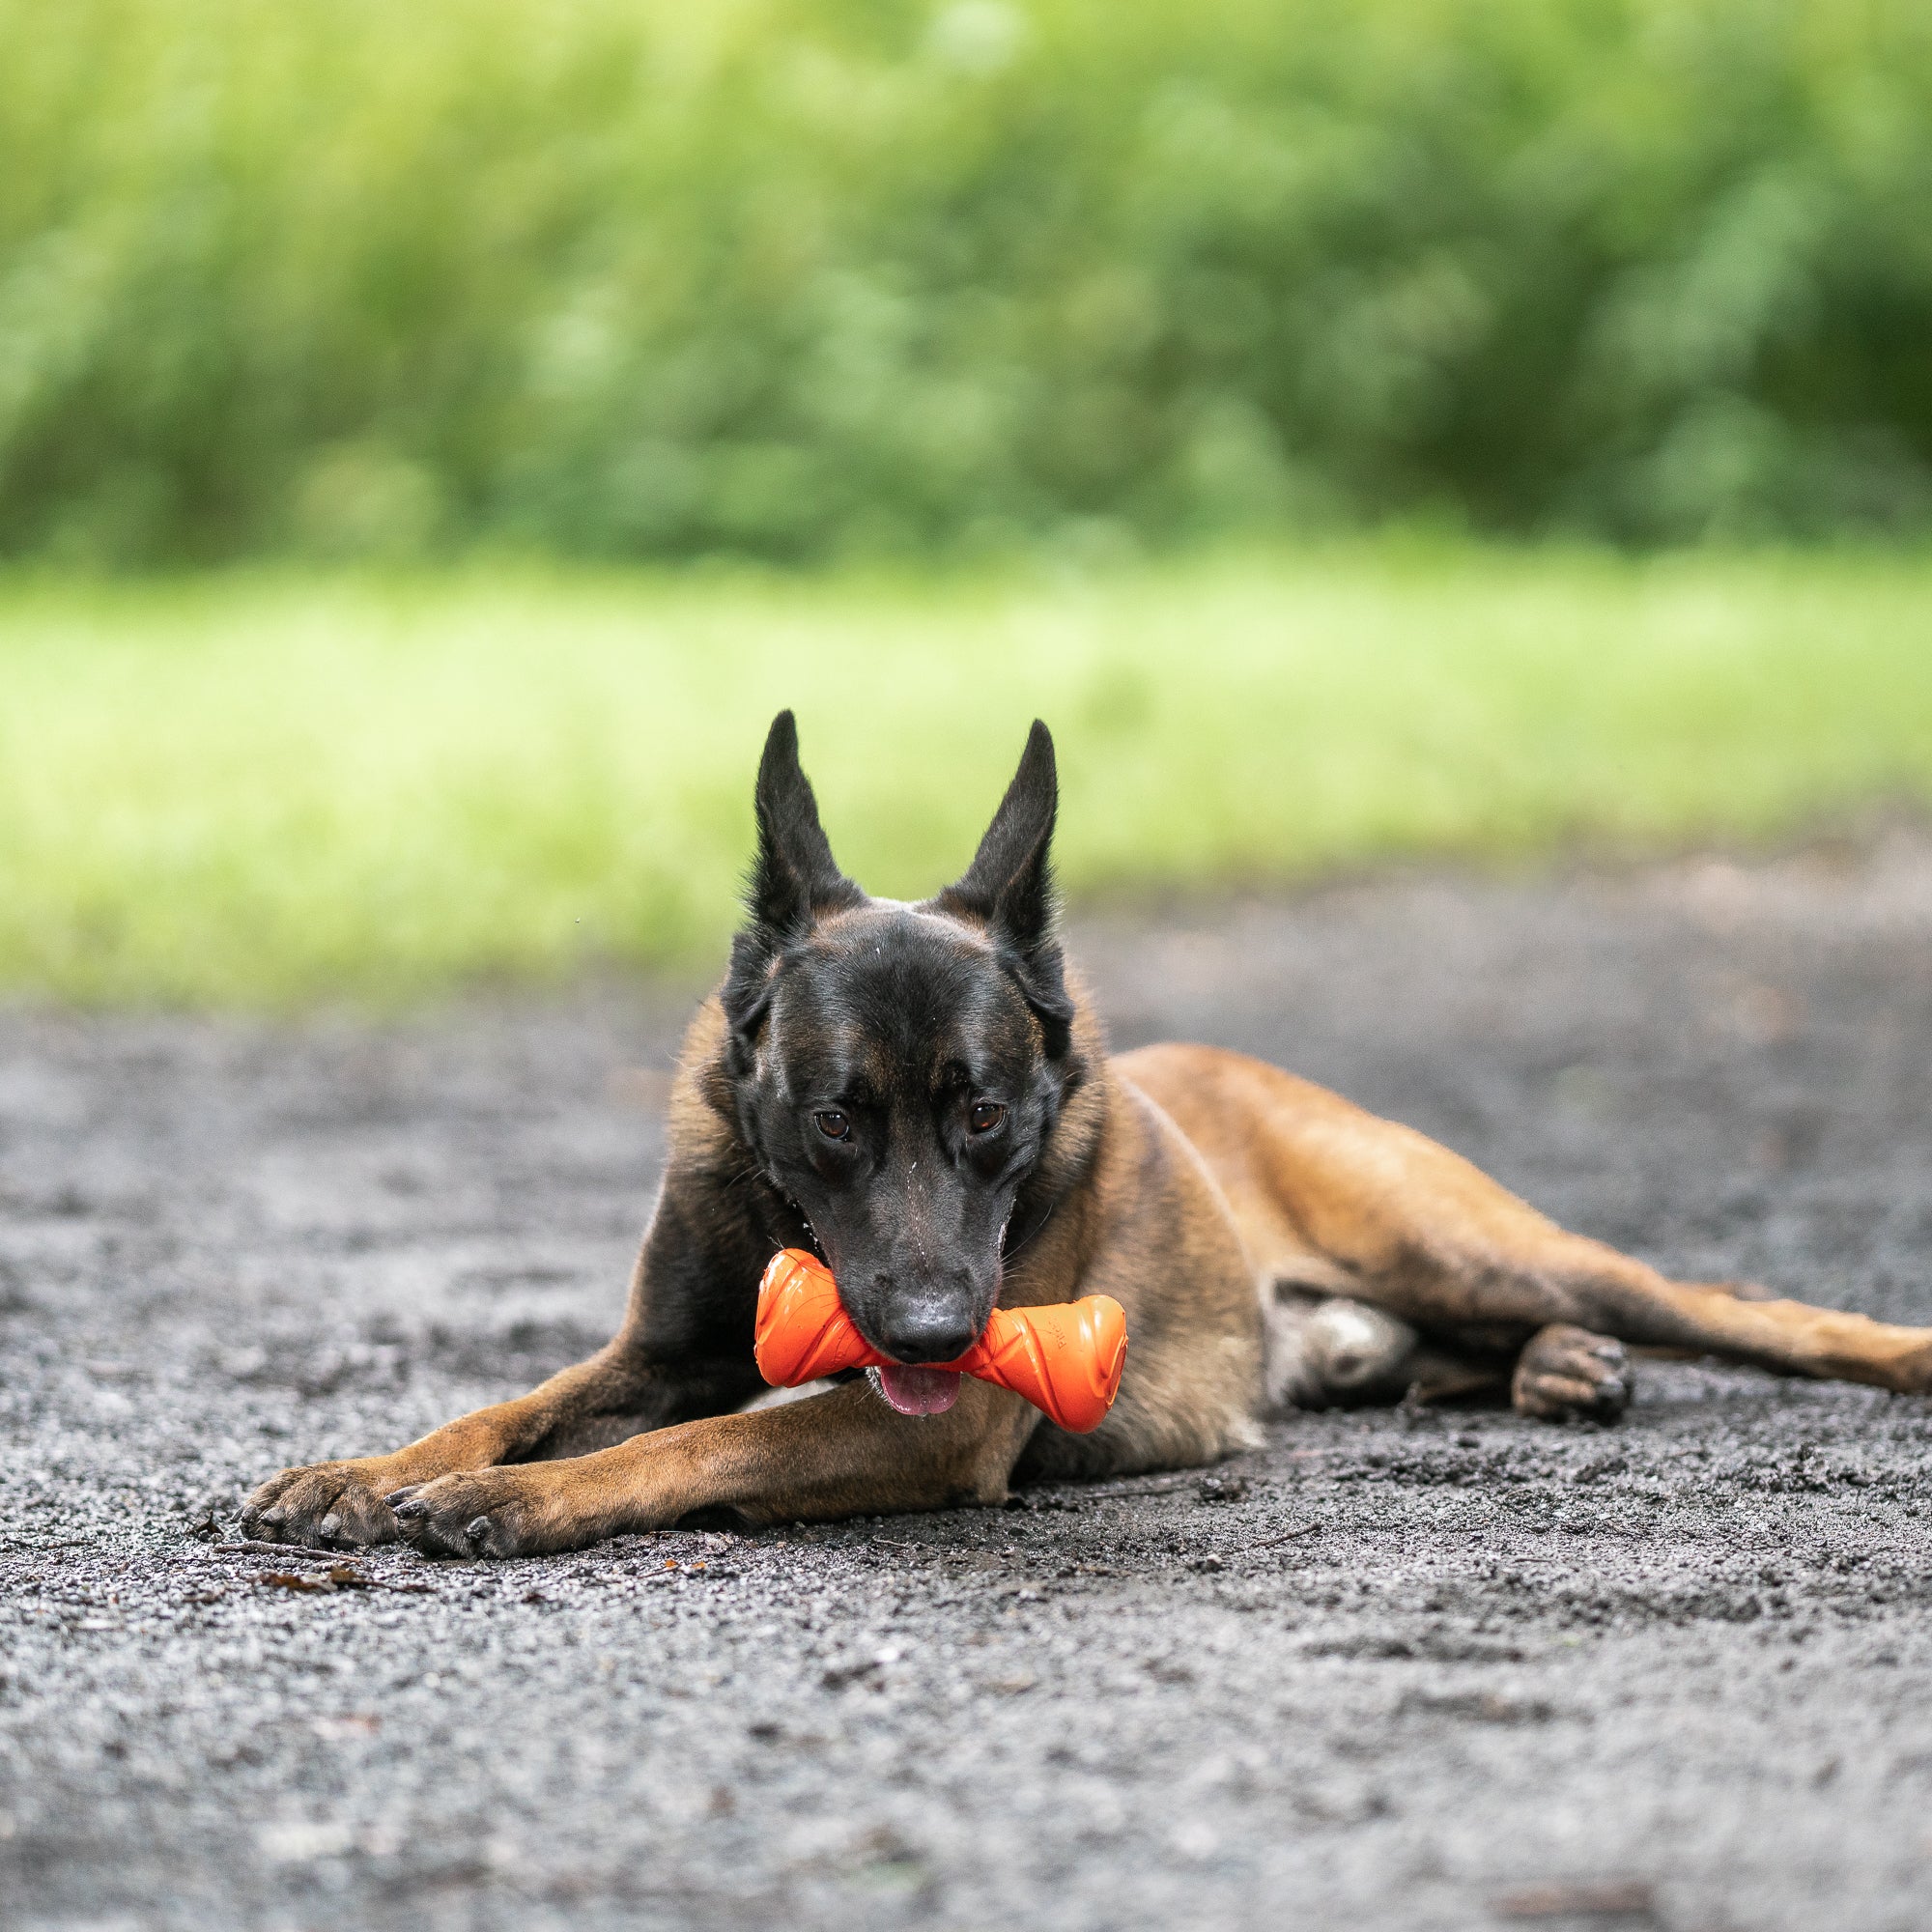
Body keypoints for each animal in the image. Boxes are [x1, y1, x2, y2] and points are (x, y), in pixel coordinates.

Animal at [242, 715, 1932, 1553]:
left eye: (986, 1115)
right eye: (836, 1117)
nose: (937, 1327)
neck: (795, 1233)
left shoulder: (928, 1422)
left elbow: (699, 1442)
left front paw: (509, 1503)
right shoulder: (657, 1351)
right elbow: (518, 1401)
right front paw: (371, 1467)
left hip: (1466, 1243)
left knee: (1731, 1306)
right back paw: (1553, 1373)